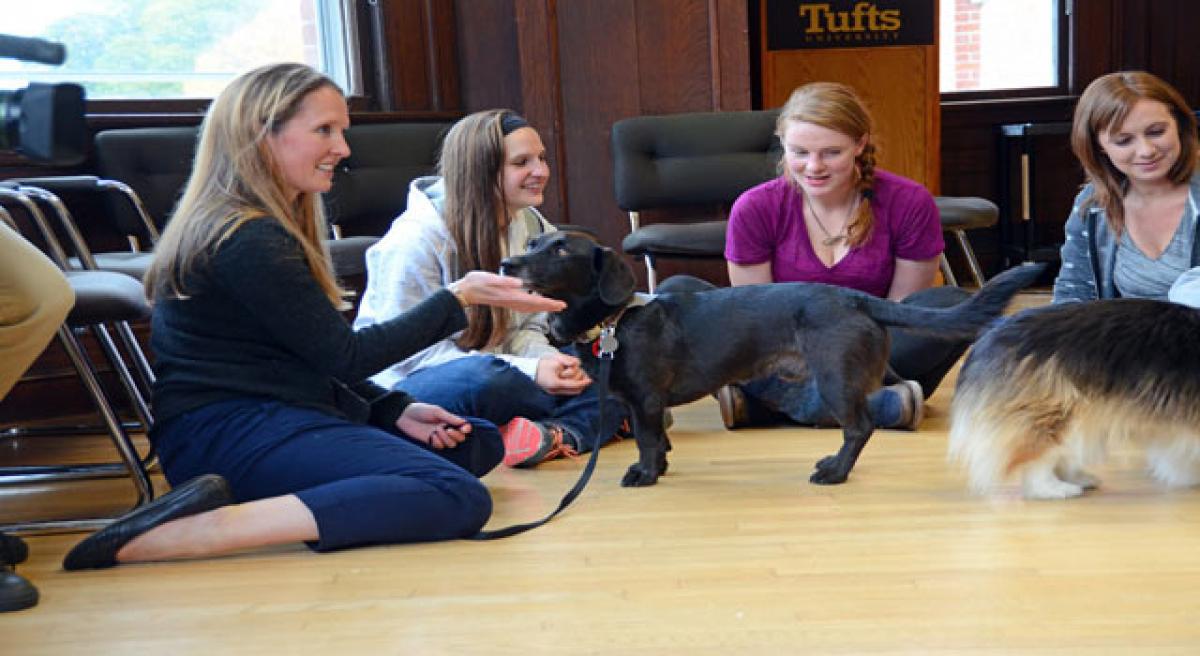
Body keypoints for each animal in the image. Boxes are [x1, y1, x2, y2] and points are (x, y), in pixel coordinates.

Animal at [496, 233, 1041, 489]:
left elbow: (650, 442)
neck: (614, 321)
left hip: (835, 378)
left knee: (859, 428)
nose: (506, 263)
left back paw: (834, 472)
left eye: (561, 249)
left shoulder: (646, 399)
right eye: (531, 243)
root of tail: (857, 300)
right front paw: (661, 466)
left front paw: (646, 475)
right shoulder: (634, 401)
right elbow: (661, 441)